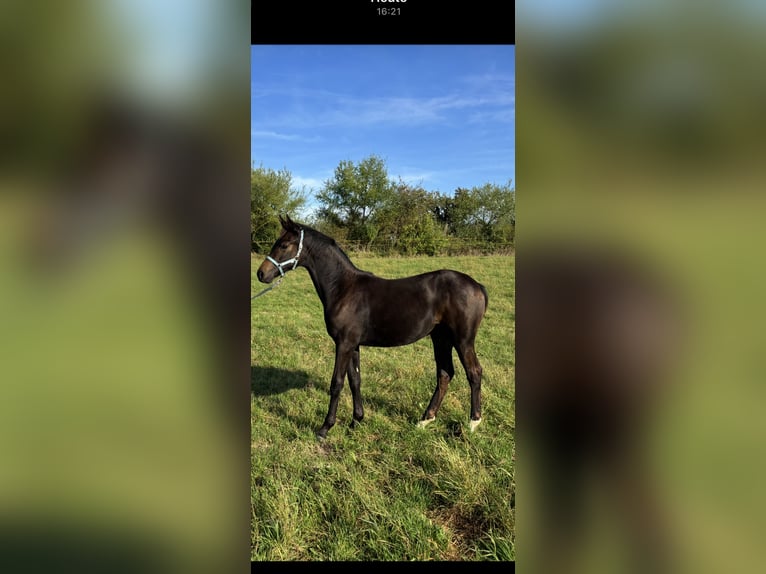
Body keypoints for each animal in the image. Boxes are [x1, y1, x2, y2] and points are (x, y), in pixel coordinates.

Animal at [256, 215, 489, 440]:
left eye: (284, 245)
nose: (261, 274)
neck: (343, 288)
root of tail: (477, 286)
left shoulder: (344, 344)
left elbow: (337, 383)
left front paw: (325, 428)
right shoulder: (353, 345)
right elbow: (355, 380)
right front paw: (356, 420)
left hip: (463, 340)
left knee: (474, 372)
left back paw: (473, 423)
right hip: (440, 338)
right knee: (445, 373)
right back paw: (425, 420)